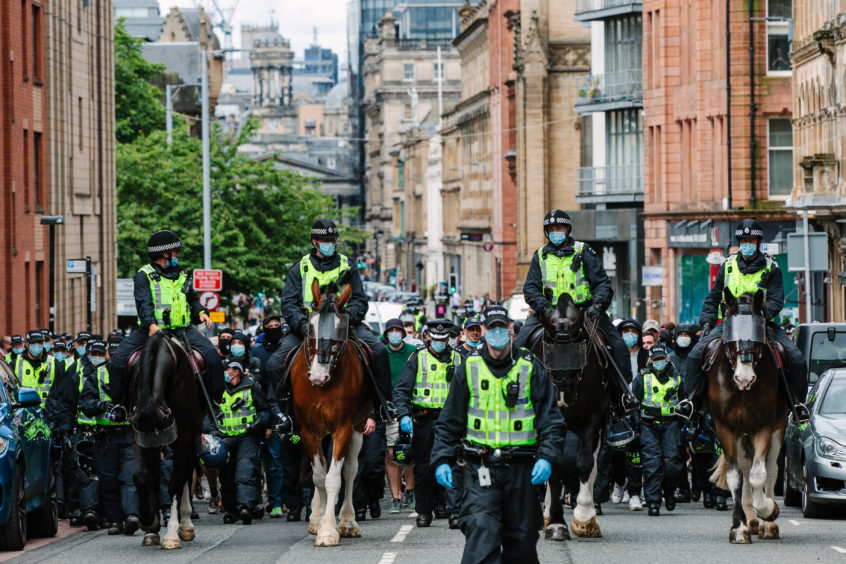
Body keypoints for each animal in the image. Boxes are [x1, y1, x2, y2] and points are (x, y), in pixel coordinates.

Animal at [290, 280, 372, 548]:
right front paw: (320, 523)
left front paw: (329, 530)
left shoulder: (343, 428)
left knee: (350, 470)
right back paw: (315, 517)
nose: (317, 376)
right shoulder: (308, 430)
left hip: (357, 427)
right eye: (311, 325)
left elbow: (334, 477)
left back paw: (346, 521)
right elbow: (318, 476)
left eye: (340, 328)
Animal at [528, 294, 608, 540]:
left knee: (592, 466)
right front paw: (555, 522)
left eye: (578, 346)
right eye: (550, 348)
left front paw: (584, 518)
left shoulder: (593, 417)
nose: (564, 396)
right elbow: (552, 467)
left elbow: (585, 462)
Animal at [704, 288, 792, 544]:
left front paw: (769, 510)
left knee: (770, 469)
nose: (744, 379)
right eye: (732, 339)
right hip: (741, 436)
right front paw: (739, 527)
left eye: (756, 337)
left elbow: (758, 474)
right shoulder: (724, 428)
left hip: (776, 429)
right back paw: (751, 521)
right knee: (744, 468)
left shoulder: (764, 427)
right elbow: (736, 476)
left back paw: (766, 524)